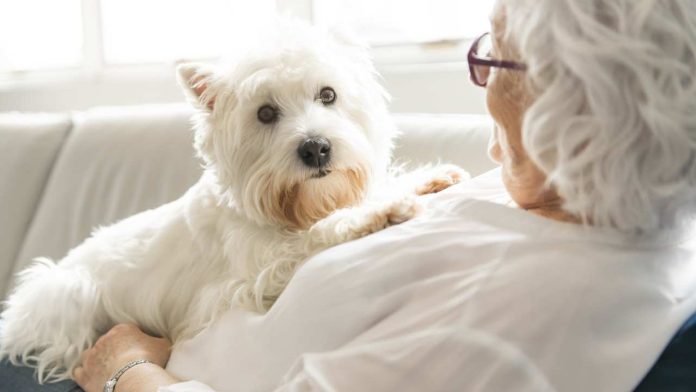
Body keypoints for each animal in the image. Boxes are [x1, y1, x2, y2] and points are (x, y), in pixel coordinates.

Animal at [1, 19, 468, 382]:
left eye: (328, 95)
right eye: (265, 113)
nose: (316, 148)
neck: (288, 207)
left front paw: (425, 179)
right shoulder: (245, 280)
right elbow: (313, 236)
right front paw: (379, 211)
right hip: (67, 295)